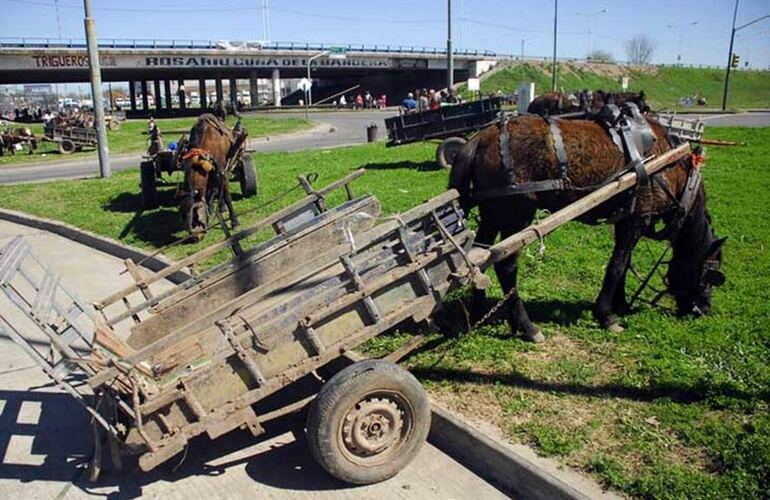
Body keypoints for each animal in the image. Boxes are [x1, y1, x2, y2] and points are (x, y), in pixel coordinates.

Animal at [448, 110, 724, 344]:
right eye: (710, 276)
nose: (704, 309)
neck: (669, 165)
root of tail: (481, 137)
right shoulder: (637, 219)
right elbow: (617, 265)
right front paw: (606, 315)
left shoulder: (625, 220)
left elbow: (623, 262)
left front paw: (620, 303)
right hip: (516, 215)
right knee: (505, 266)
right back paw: (527, 326)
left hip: (492, 214)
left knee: (480, 257)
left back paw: (479, 312)